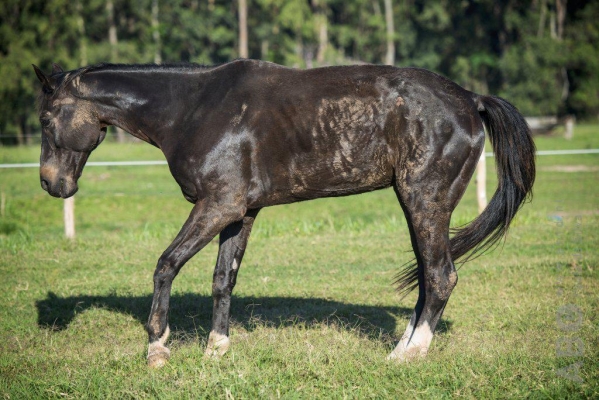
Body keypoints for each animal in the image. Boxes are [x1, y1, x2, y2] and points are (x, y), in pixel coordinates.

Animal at [32, 57, 536, 368]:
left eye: (46, 117)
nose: (51, 184)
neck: (193, 109)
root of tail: (471, 99)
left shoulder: (217, 206)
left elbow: (166, 265)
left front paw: (157, 346)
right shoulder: (240, 212)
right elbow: (223, 279)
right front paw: (217, 349)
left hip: (424, 201)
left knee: (440, 276)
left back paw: (409, 356)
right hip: (418, 205)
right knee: (429, 279)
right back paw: (403, 347)